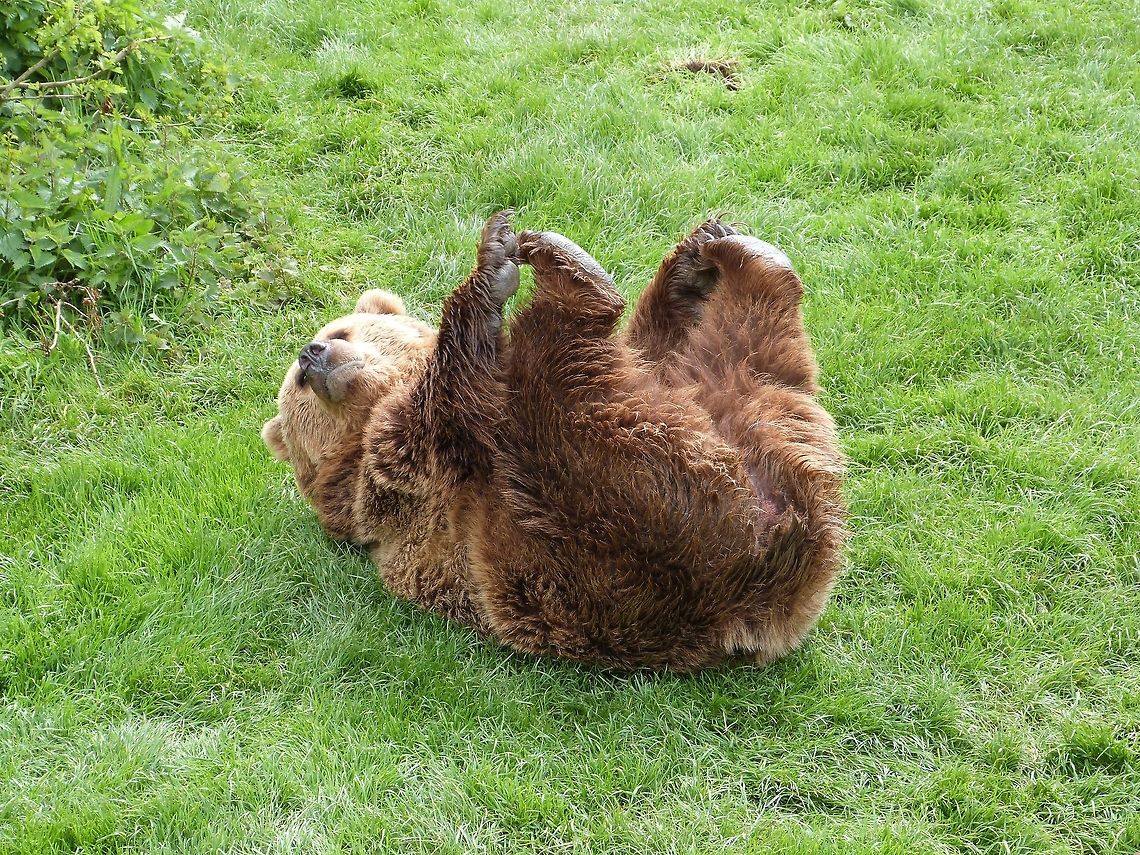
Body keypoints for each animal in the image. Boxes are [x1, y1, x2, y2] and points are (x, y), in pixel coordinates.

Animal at [262, 213, 845, 671]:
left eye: (340, 332)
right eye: (297, 385)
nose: (311, 354)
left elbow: (646, 344)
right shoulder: (396, 478)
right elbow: (427, 420)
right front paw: (494, 269)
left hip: (746, 413)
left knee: (747, 348)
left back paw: (716, 254)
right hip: (620, 522)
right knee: (559, 371)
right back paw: (571, 273)